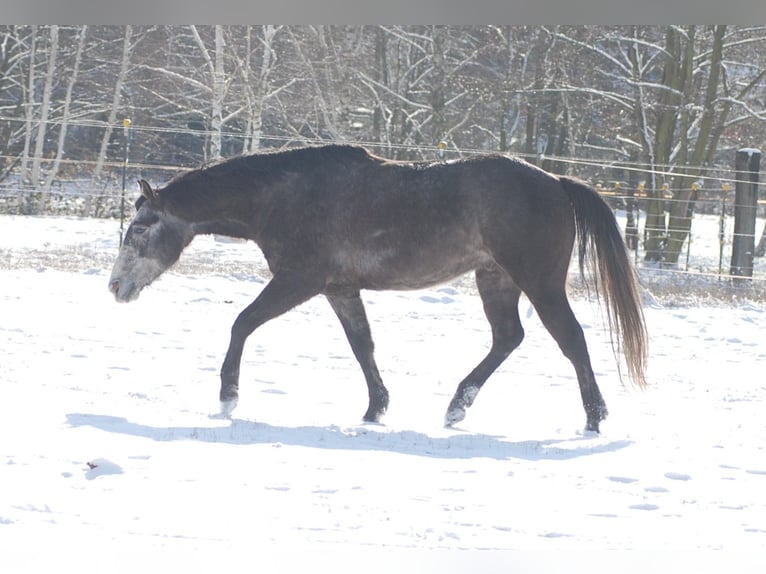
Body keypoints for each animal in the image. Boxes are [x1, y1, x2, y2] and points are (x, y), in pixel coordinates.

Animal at [108, 144, 648, 432]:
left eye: (138, 229)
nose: (115, 286)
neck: (283, 196)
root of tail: (556, 181)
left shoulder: (299, 280)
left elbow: (242, 322)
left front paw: (228, 396)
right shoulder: (339, 289)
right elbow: (362, 345)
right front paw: (376, 408)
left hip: (538, 281)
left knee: (571, 340)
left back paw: (594, 418)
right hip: (495, 278)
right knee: (508, 338)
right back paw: (457, 407)